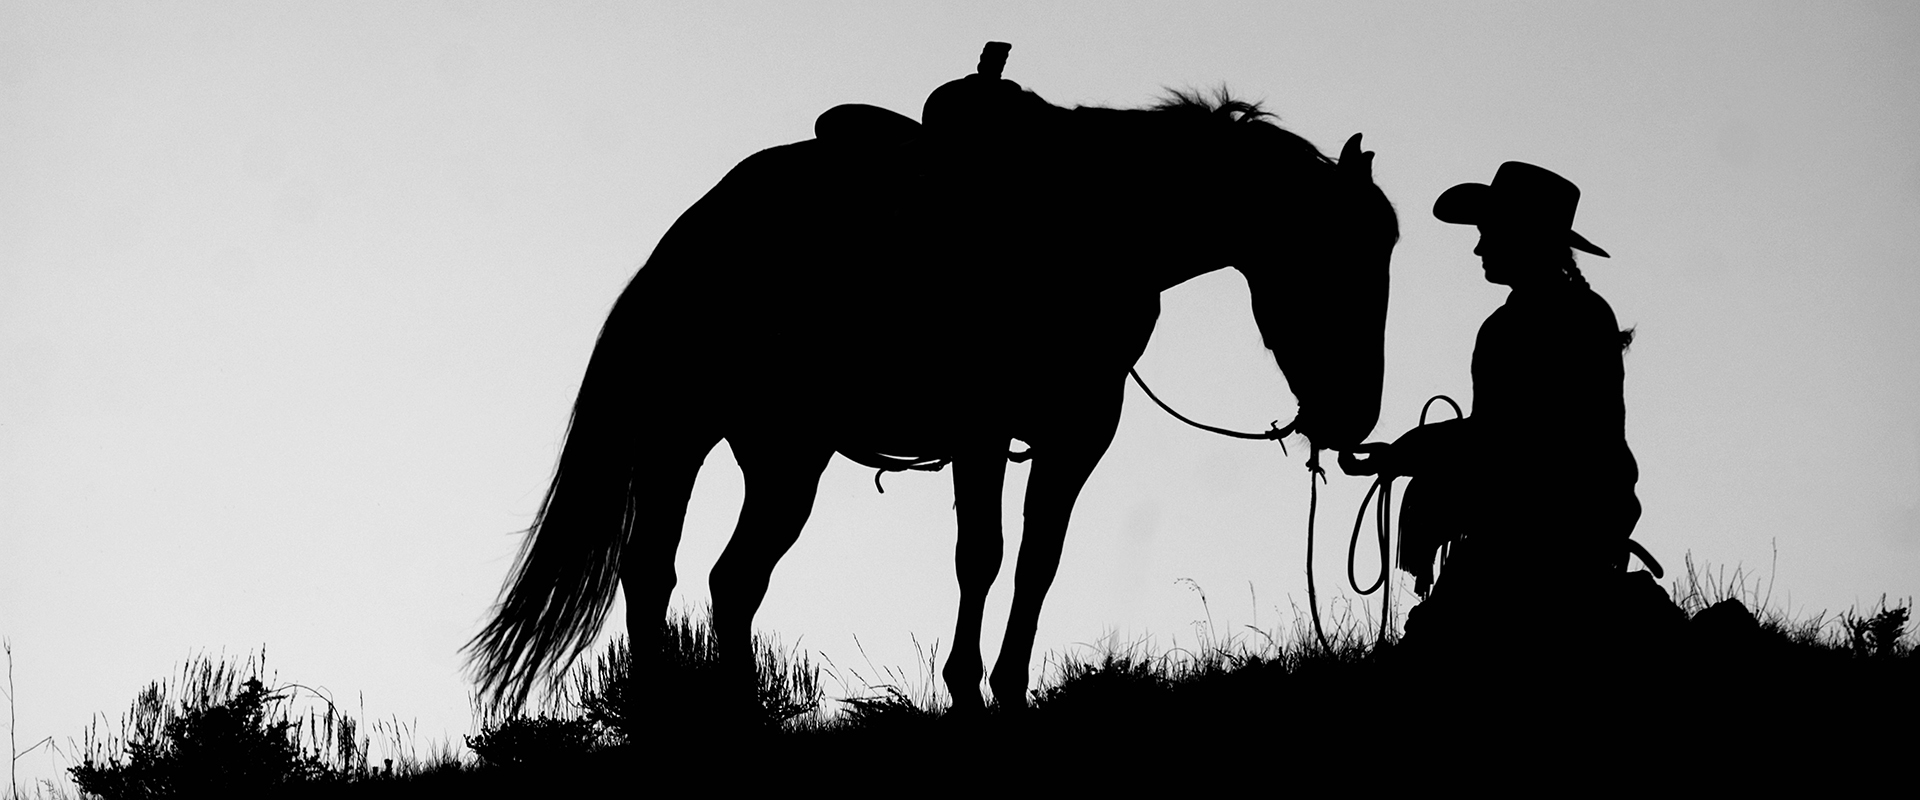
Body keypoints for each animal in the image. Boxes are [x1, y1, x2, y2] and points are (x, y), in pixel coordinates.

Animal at [466, 89, 1400, 716]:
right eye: (1336, 256)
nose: (1354, 419)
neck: (1087, 224)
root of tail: (679, 248)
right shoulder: (983, 430)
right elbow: (980, 556)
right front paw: (964, 690)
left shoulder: (1078, 432)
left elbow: (1039, 560)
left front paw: (1010, 689)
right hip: (699, 438)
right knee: (671, 571)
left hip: (767, 453)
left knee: (717, 577)